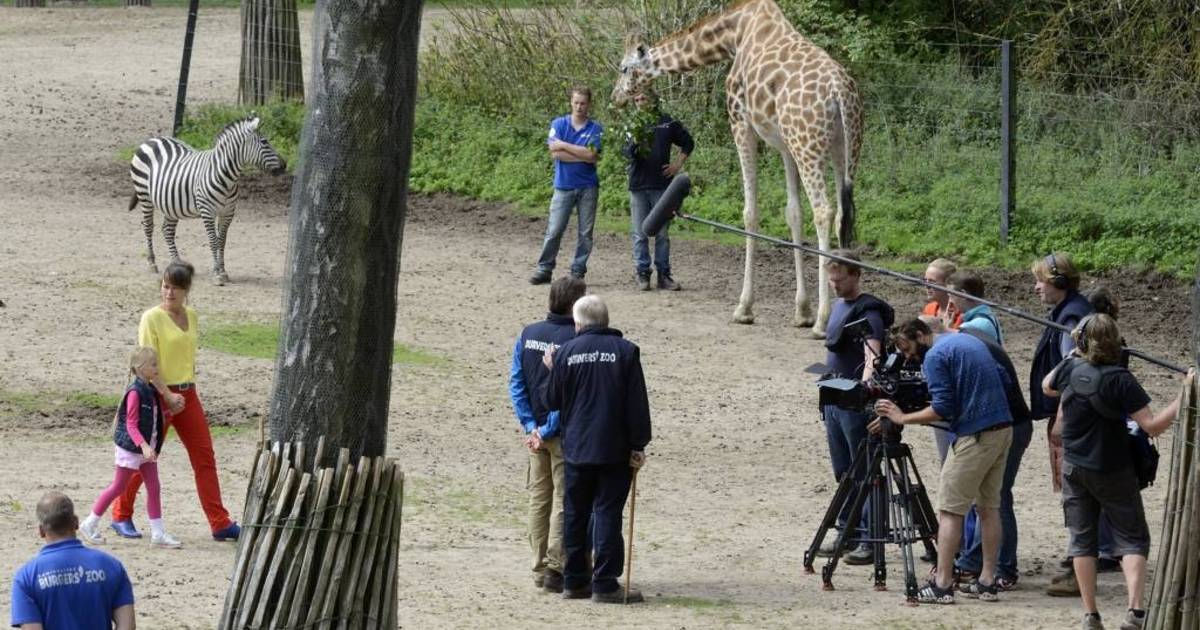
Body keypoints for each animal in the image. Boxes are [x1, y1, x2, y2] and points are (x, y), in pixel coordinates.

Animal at [128, 115, 285, 284]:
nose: (285, 165)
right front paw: (216, 273)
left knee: (167, 230)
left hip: (170, 203)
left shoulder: (228, 213)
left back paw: (177, 263)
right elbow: (213, 241)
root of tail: (152, 139)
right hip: (144, 195)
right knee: (148, 227)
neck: (226, 178)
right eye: (264, 142)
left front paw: (223, 271)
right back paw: (152, 263)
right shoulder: (207, 211)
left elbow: (222, 241)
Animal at [609, 0, 864, 338]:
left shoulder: (741, 121)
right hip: (844, 149)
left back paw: (824, 322)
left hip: (810, 146)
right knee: (843, 217)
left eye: (624, 68)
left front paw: (745, 308)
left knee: (824, 212)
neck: (733, 36)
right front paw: (801, 312)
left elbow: (750, 213)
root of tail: (841, 94)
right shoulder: (784, 144)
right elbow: (793, 214)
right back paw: (840, 310)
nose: (615, 97)